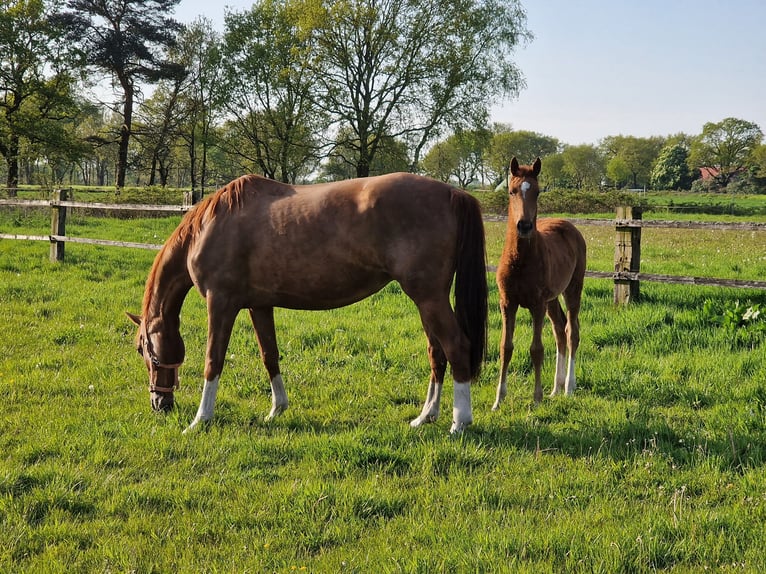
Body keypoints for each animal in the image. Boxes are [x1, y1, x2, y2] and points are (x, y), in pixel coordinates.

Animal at [127, 173, 488, 434]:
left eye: (142, 349)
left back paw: (460, 422)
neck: (209, 228)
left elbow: (213, 361)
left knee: (456, 346)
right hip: (427, 300)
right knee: (436, 353)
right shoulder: (259, 305)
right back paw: (425, 417)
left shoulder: (221, 303)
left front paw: (200, 419)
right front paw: (277, 409)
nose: (159, 404)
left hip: (428, 297)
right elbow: (269, 355)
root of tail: (454, 194)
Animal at [492, 157, 586, 408]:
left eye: (537, 192)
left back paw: (568, 387)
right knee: (560, 330)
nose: (524, 226)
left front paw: (536, 398)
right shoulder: (507, 302)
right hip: (552, 299)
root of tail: (569, 226)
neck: (520, 261)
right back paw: (555, 388)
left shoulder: (536, 305)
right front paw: (498, 400)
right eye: (512, 191)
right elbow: (505, 347)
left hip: (572, 289)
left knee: (572, 332)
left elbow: (536, 349)